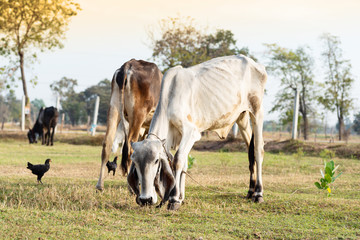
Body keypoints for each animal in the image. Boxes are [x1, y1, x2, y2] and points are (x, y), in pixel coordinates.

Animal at [95, 59, 163, 190]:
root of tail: (129, 64)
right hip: (137, 115)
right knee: (131, 147)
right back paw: (132, 188)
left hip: (114, 107)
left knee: (107, 143)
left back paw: (100, 185)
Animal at [128, 55, 266, 209]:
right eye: (135, 162)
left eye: (156, 161)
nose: (145, 199)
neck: (169, 99)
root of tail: (255, 64)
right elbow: (184, 163)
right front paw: (181, 197)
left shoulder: (191, 132)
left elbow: (178, 160)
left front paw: (174, 199)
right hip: (242, 117)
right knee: (250, 151)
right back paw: (250, 191)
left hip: (257, 111)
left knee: (258, 151)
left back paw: (258, 193)